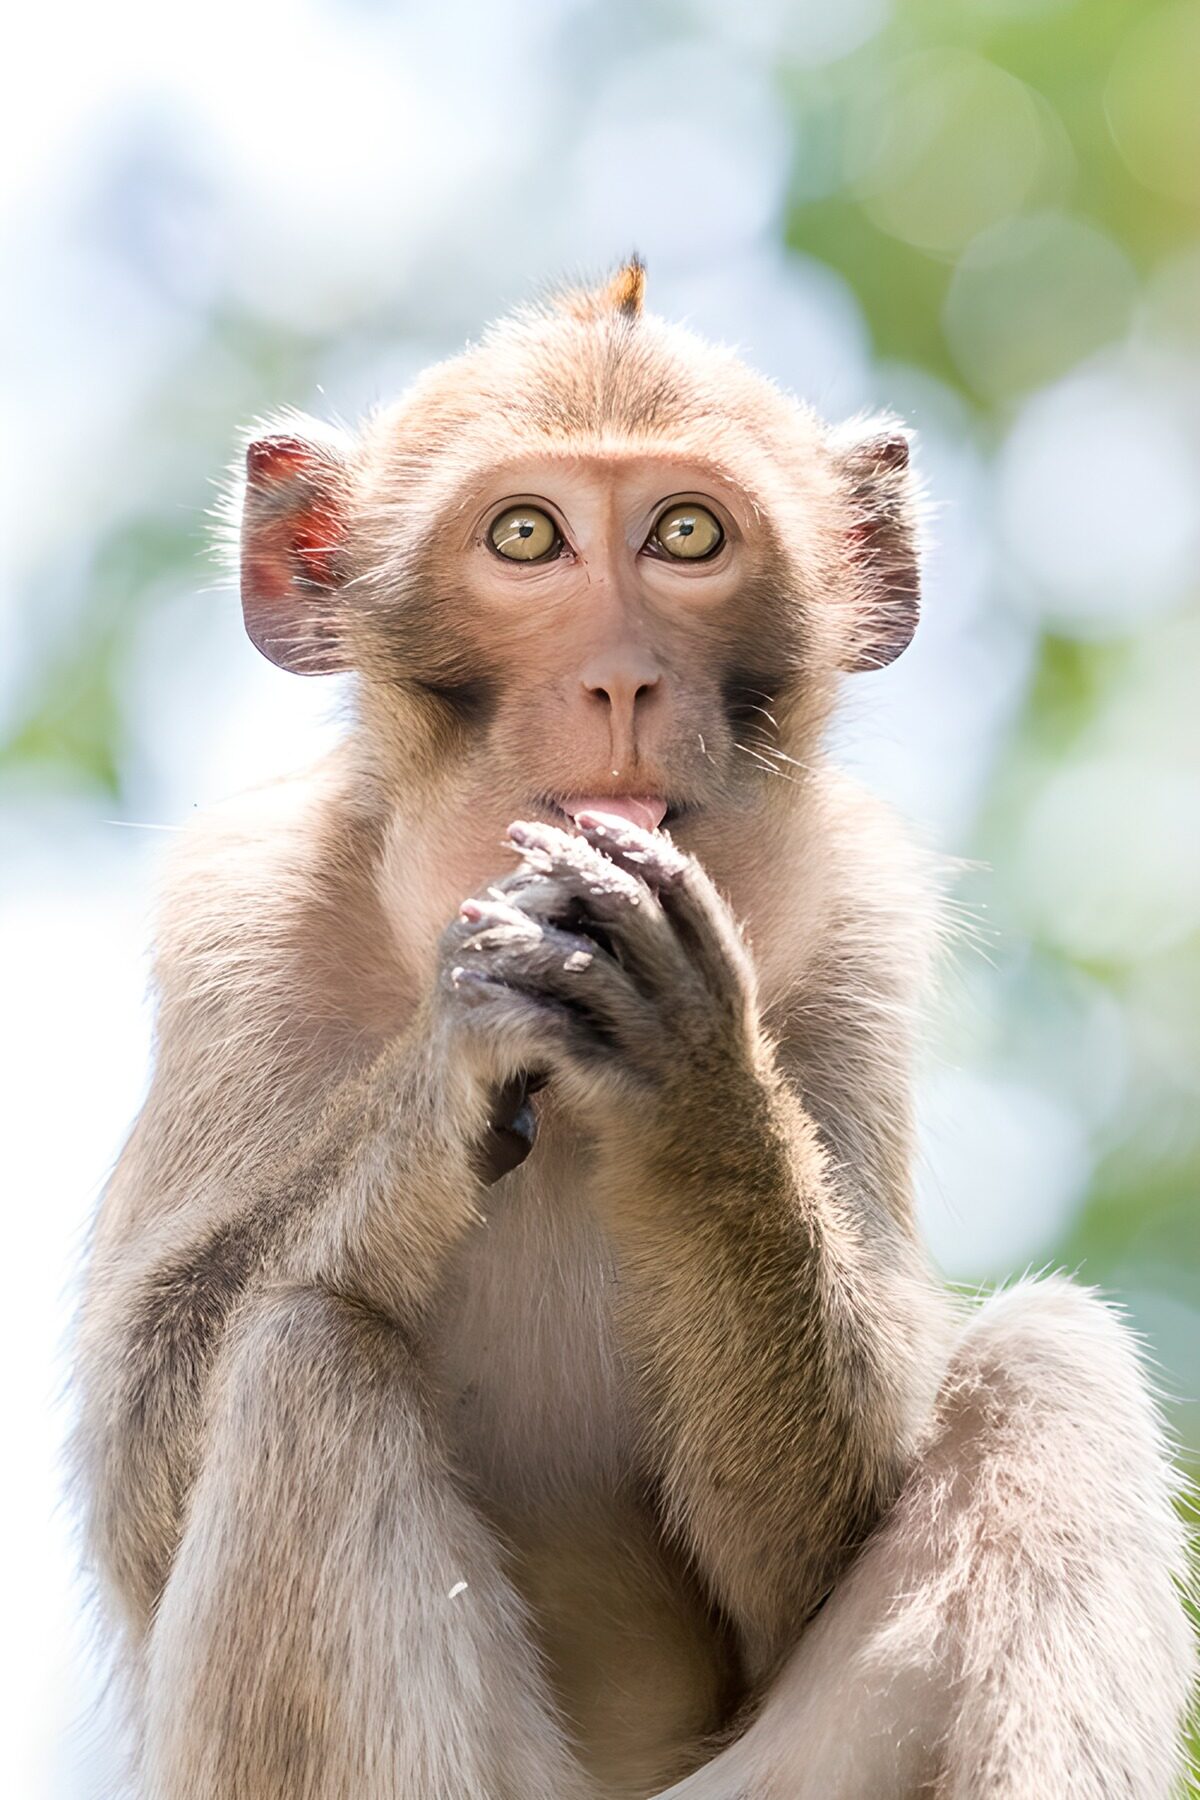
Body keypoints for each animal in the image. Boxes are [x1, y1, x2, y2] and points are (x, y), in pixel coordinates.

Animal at [72, 258, 1195, 1799]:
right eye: (527, 536)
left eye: (685, 535)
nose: (620, 678)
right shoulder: (235, 926)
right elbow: (139, 1458)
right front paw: (449, 1061)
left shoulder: (855, 925)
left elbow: (807, 1543)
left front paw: (700, 1094)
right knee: (305, 1362)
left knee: (1050, 1368)